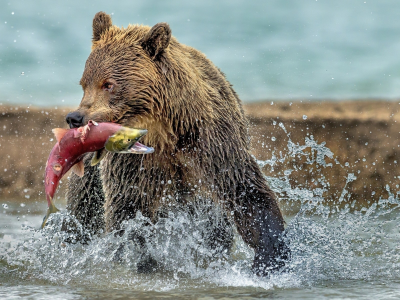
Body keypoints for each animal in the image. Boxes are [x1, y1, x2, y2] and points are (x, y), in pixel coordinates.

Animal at [66, 11, 290, 274]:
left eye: (108, 84)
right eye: (84, 83)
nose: (75, 118)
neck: (165, 131)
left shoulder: (211, 143)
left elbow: (244, 190)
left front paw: (269, 255)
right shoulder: (134, 163)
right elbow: (128, 208)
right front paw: (138, 257)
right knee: (82, 212)